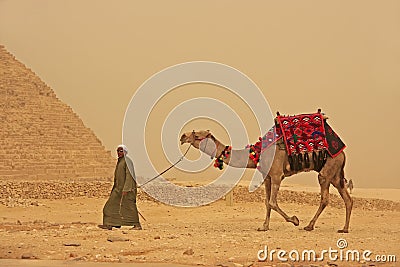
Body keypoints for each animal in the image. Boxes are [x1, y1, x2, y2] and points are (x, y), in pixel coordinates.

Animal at [180, 126, 352, 233]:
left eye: (197, 135)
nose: (182, 136)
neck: (257, 153)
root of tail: (343, 152)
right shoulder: (267, 177)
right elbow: (267, 202)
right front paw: (264, 227)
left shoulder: (277, 175)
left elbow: (272, 202)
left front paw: (295, 220)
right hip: (336, 174)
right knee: (347, 199)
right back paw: (344, 228)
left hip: (328, 169)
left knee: (324, 197)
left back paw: (309, 226)